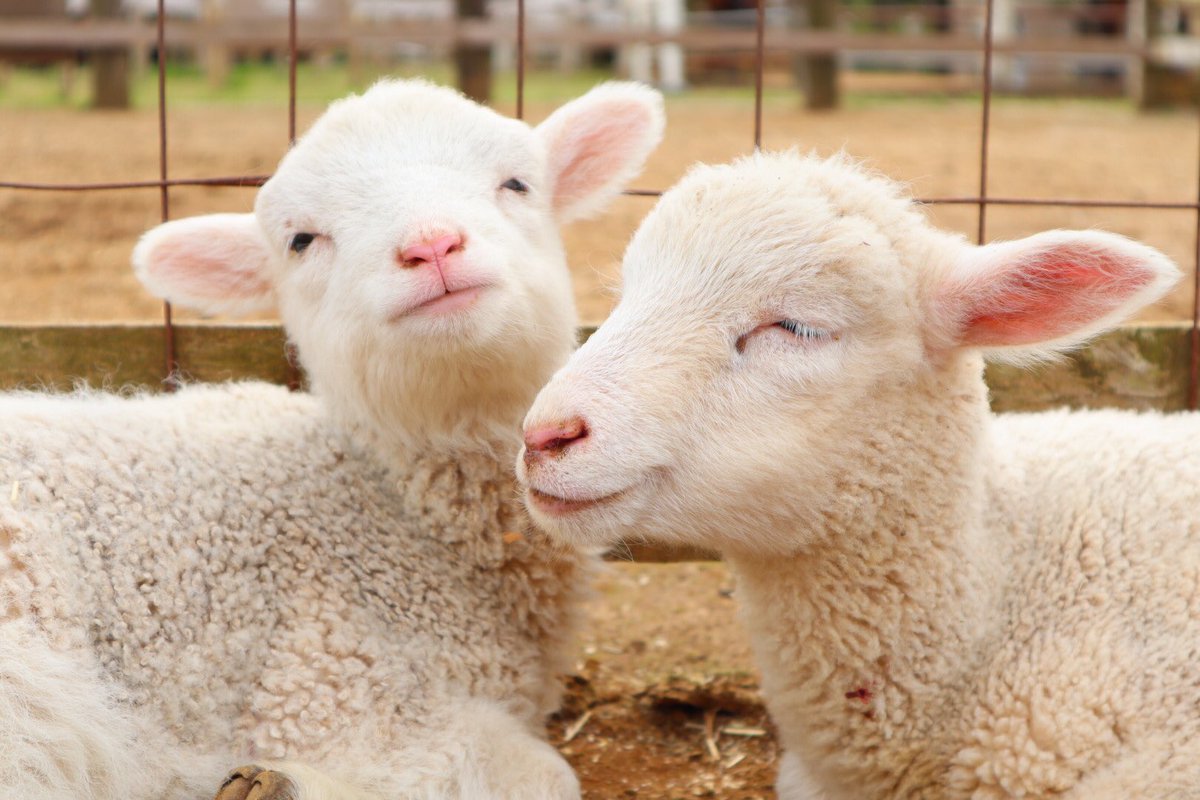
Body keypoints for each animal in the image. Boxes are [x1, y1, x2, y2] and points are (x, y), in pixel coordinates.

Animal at [0, 79, 667, 800]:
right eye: (301, 240)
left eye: (517, 183)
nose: (432, 245)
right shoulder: (324, 680)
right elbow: (542, 772)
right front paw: (286, 781)